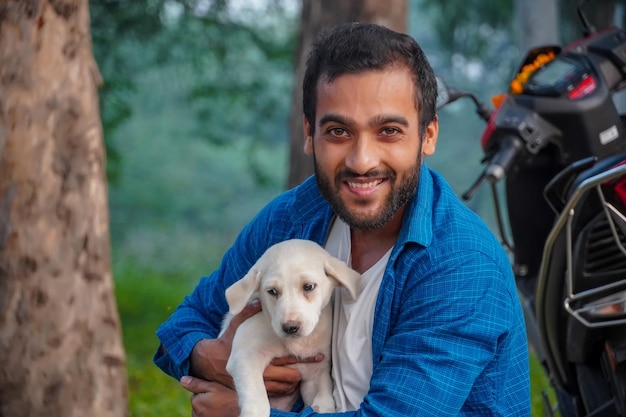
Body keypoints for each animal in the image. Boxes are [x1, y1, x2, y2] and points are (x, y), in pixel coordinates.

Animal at [219, 237, 358, 416]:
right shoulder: (245, 356)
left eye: (308, 287)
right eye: (272, 291)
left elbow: (323, 397)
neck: (296, 343)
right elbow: (256, 397)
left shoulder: (315, 370)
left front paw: (323, 406)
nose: (290, 328)